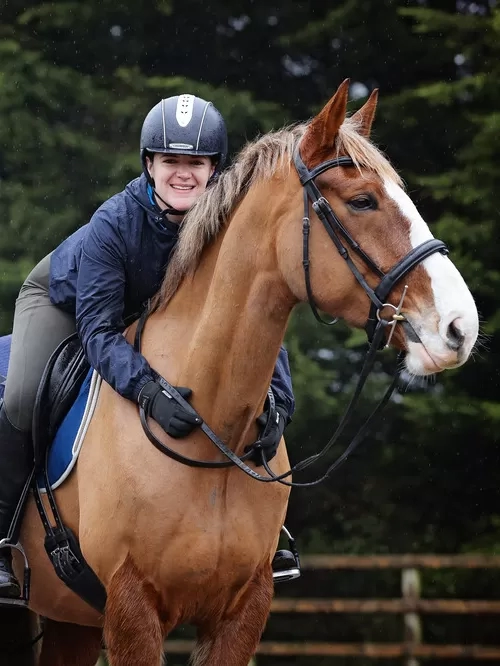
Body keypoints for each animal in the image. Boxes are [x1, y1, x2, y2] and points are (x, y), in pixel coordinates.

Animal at [5, 79, 478, 664]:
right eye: (362, 201)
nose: (461, 326)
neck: (210, 428)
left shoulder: (241, 612)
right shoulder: (131, 610)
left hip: (70, 620)